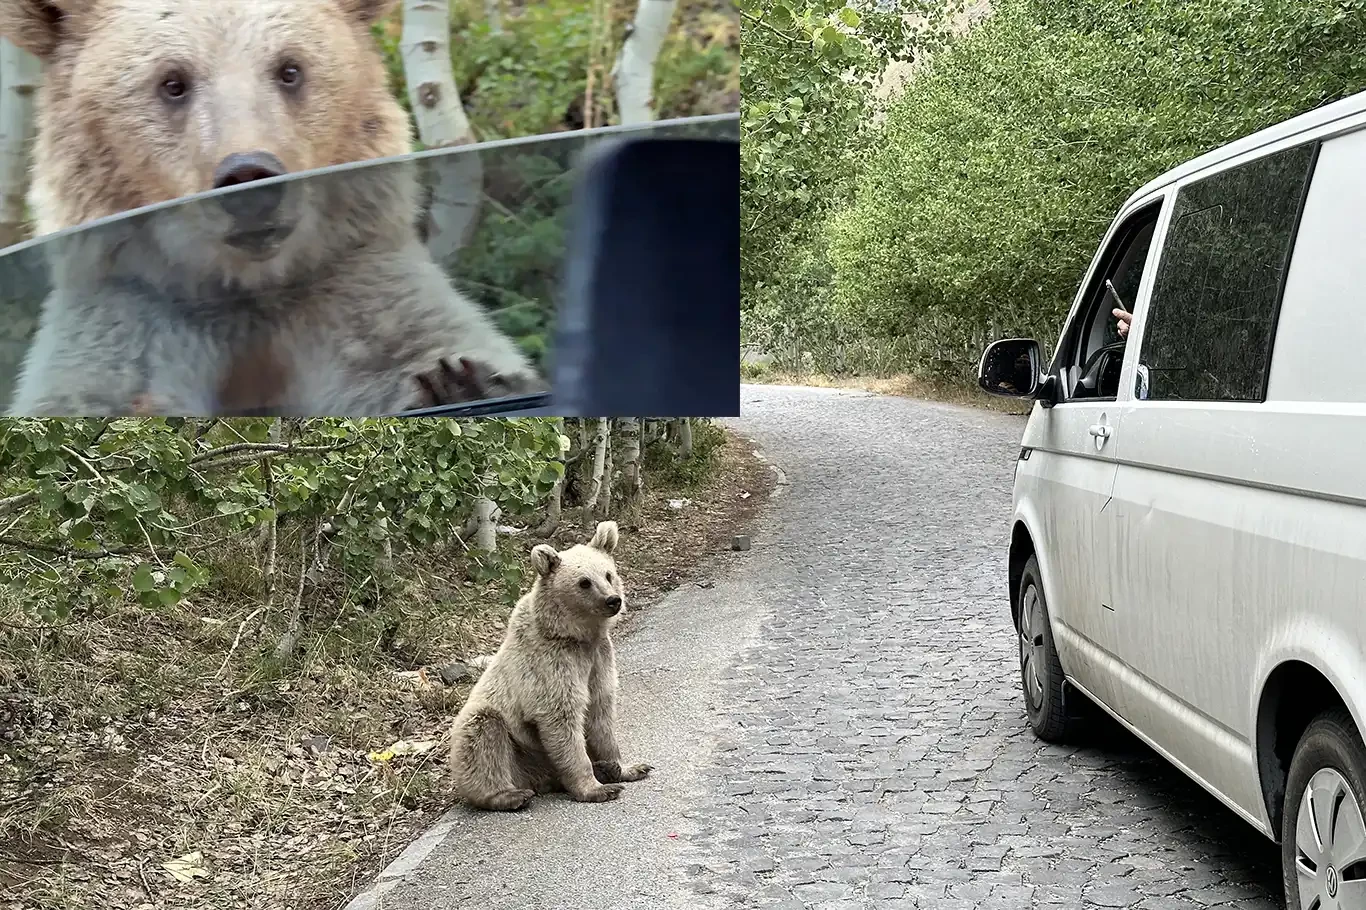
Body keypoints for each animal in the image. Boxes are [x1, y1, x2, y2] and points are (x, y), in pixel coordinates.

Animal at [0, 0, 543, 415]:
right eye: (172, 81)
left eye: (289, 69)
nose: (249, 177)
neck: (249, 287)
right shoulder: (131, 312)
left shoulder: (354, 292)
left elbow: (413, 348)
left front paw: (461, 380)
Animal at [445, 521, 652, 808]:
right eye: (584, 582)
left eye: (608, 574)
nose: (613, 600)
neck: (575, 635)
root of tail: (539, 779)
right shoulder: (551, 665)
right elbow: (562, 718)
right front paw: (597, 789)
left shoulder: (599, 660)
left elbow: (601, 714)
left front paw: (628, 767)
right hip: (511, 743)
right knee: (484, 734)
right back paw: (510, 795)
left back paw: (605, 769)